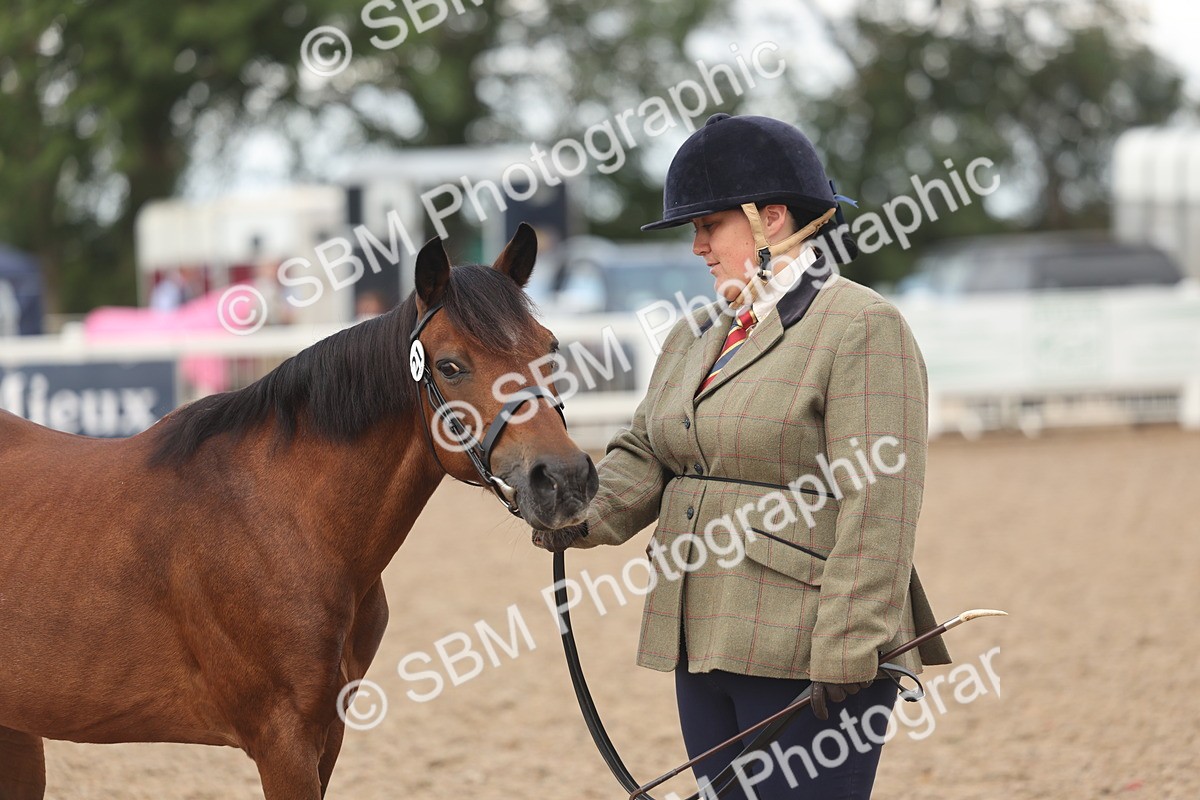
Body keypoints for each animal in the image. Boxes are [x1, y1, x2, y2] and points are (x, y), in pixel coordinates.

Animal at [0, 224, 598, 799]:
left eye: (550, 348)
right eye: (451, 366)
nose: (564, 479)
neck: (284, 520)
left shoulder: (326, 734)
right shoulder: (282, 740)